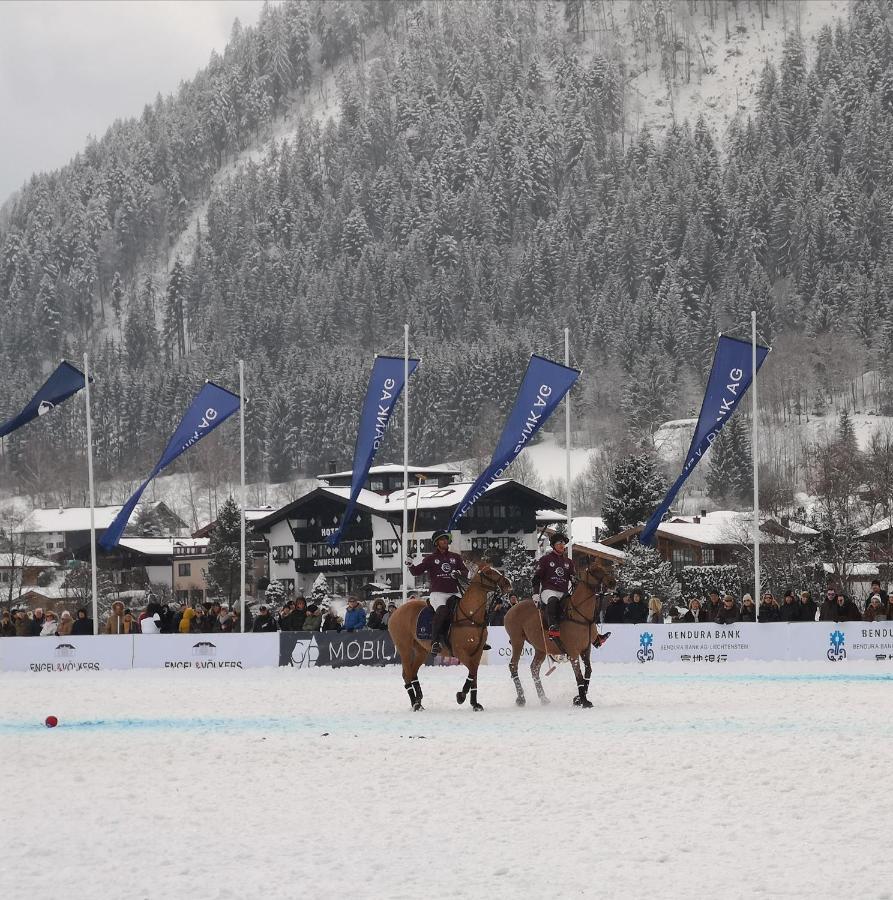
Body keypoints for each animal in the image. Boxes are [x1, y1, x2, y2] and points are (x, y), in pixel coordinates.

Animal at [388, 568, 512, 712]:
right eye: (488, 573)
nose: (508, 583)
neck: (471, 617)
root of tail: (396, 612)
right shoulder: (460, 651)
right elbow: (472, 670)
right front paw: (461, 696)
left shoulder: (477, 652)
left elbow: (474, 672)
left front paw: (475, 703)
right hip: (404, 647)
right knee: (407, 673)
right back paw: (415, 703)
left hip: (421, 650)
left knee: (412, 671)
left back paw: (418, 700)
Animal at [506, 564, 608, 712]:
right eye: (595, 571)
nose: (612, 583)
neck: (581, 615)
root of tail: (511, 609)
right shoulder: (573, 652)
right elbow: (579, 676)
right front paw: (583, 701)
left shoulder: (586, 649)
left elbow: (588, 672)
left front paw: (578, 698)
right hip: (517, 640)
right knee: (513, 665)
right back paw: (521, 698)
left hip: (540, 647)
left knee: (534, 668)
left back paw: (543, 698)